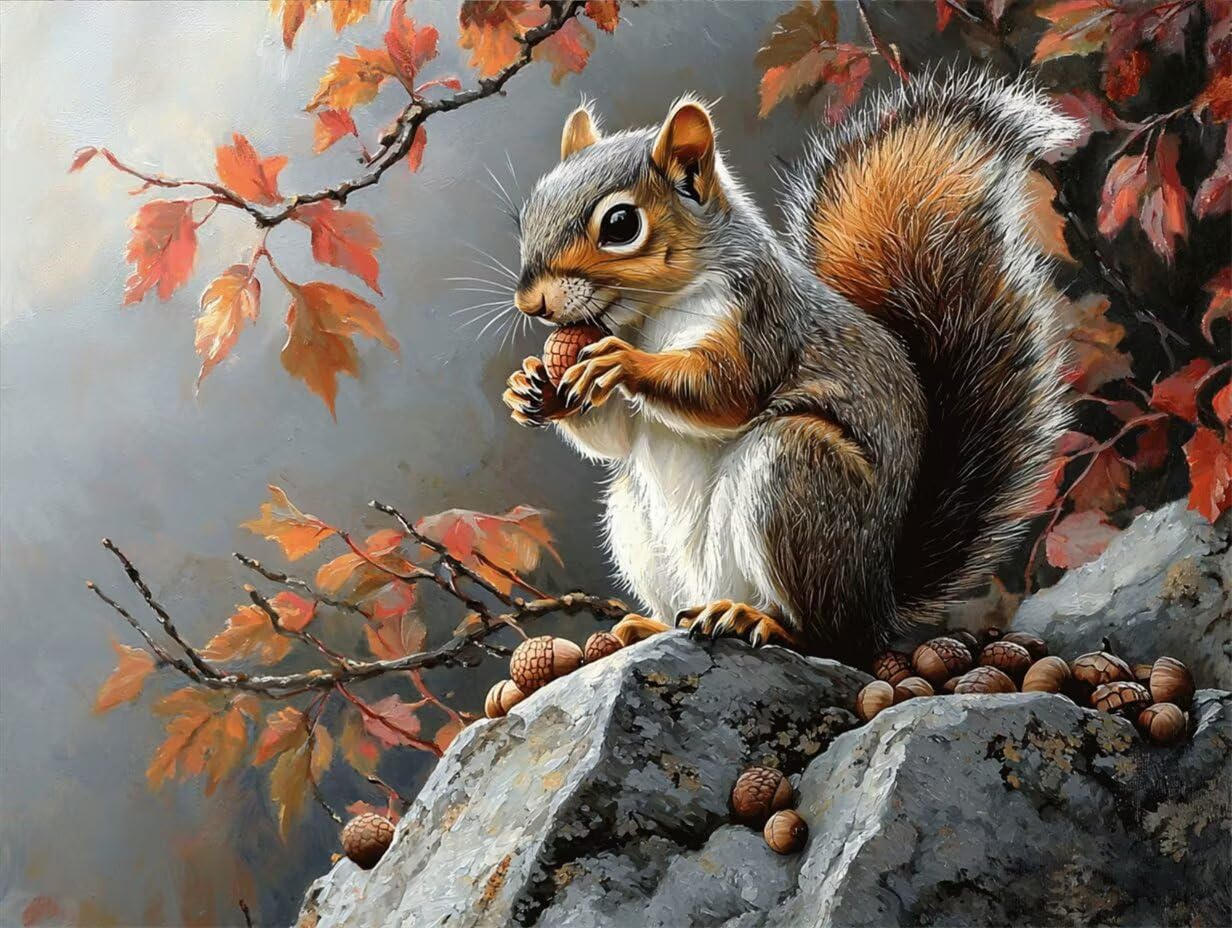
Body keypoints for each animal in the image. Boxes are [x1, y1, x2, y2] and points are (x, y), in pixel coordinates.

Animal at [502, 72, 1078, 665]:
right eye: (529, 214)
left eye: (621, 224)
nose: (531, 303)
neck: (652, 313)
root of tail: (878, 605)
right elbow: (614, 437)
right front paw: (532, 387)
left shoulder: (762, 322)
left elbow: (725, 391)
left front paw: (624, 363)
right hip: (637, 524)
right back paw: (652, 626)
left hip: (797, 477)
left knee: (829, 635)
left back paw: (757, 620)